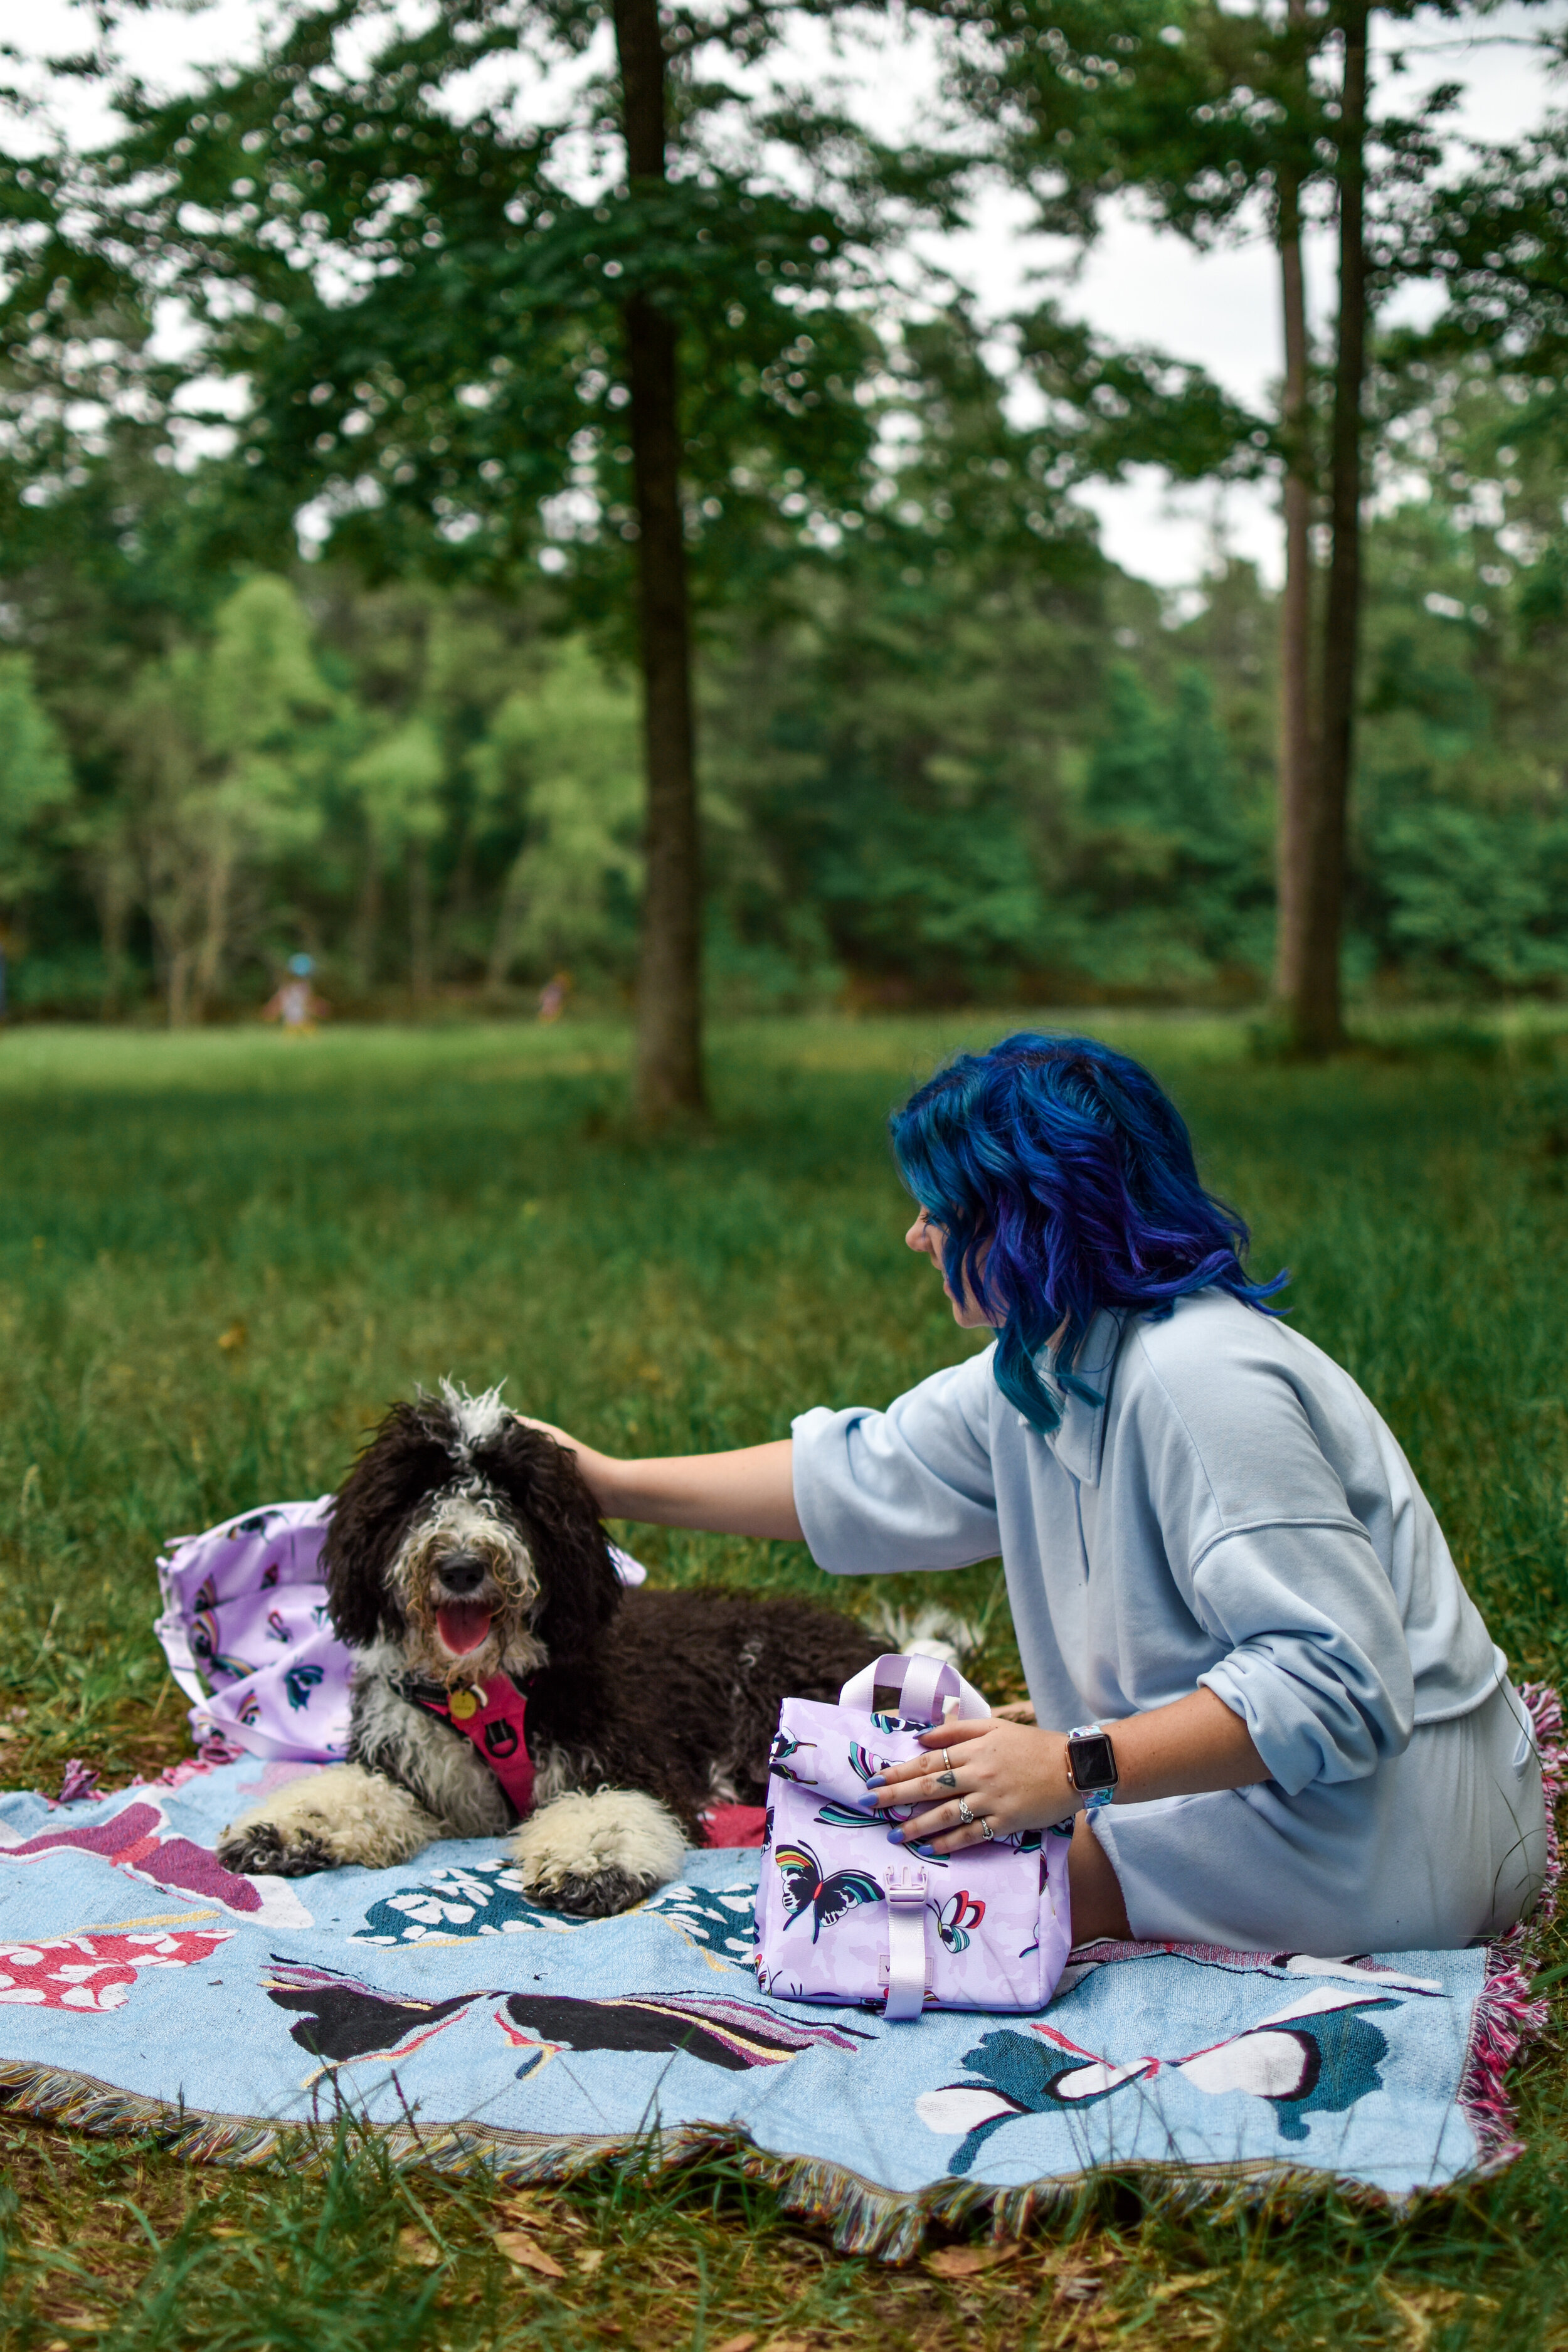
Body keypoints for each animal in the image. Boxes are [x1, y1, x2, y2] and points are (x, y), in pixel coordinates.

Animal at [215, 1383, 888, 1919]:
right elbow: (353, 1793)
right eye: (419, 1489)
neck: (483, 1689)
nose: (461, 1566)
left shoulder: (621, 1755)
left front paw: (591, 1863)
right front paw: (284, 1829)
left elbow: (608, 1810)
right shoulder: (411, 1766)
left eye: (513, 1493)